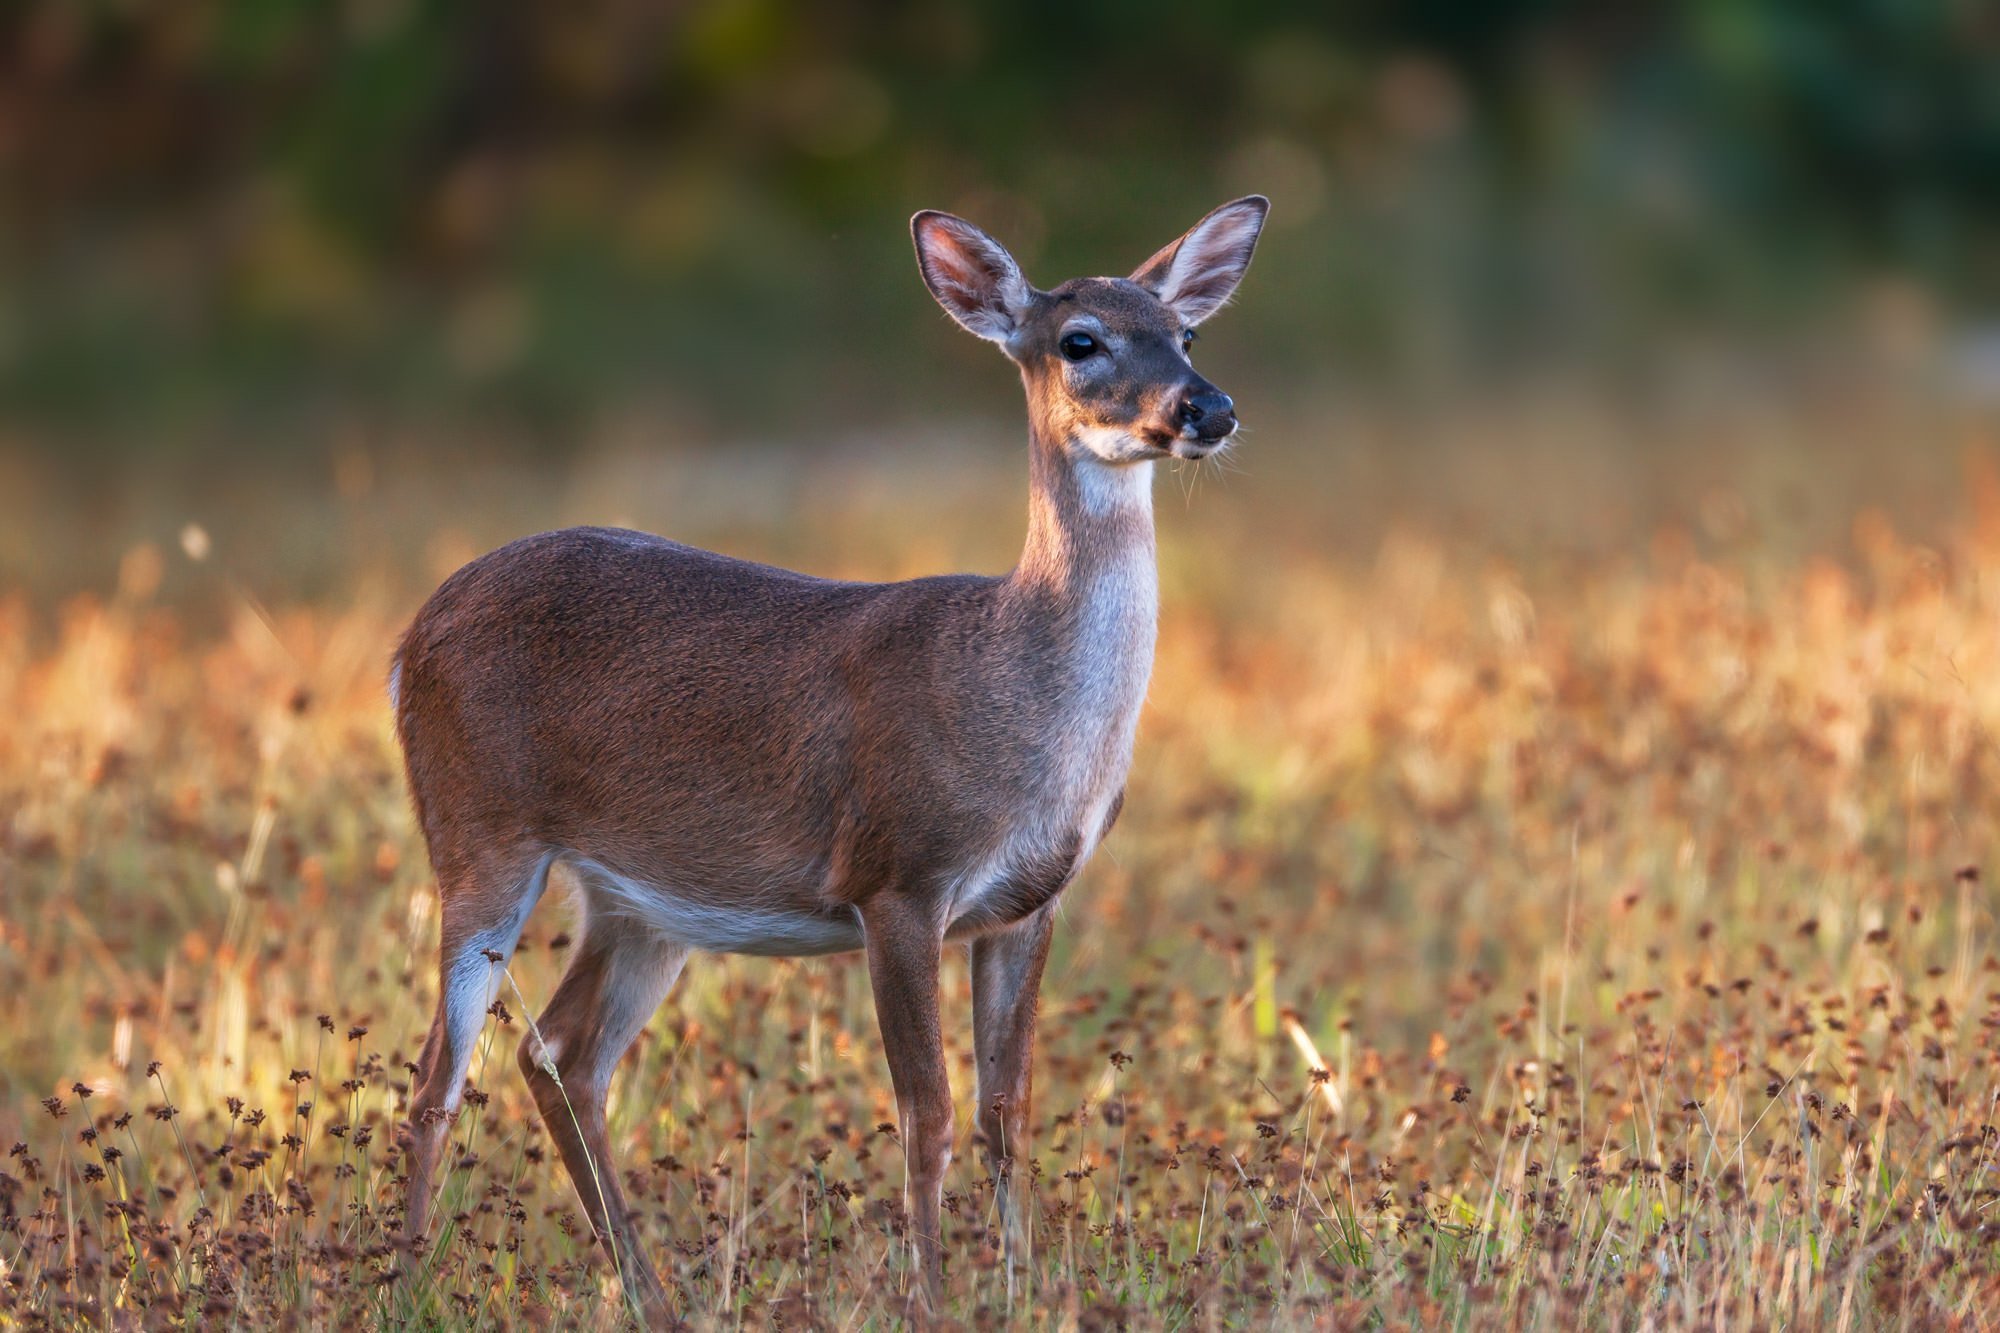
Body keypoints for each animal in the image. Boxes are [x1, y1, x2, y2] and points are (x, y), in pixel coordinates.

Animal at [390, 192, 1264, 1304]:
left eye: (1185, 333)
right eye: (1081, 341)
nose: (1208, 407)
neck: (1020, 709)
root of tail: (408, 638)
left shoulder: (1031, 902)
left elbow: (1007, 1114)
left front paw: (1026, 1287)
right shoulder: (897, 874)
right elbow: (927, 1114)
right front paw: (936, 1296)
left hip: (640, 902)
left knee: (558, 1055)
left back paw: (652, 1294)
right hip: (478, 829)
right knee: (435, 1075)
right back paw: (408, 1284)